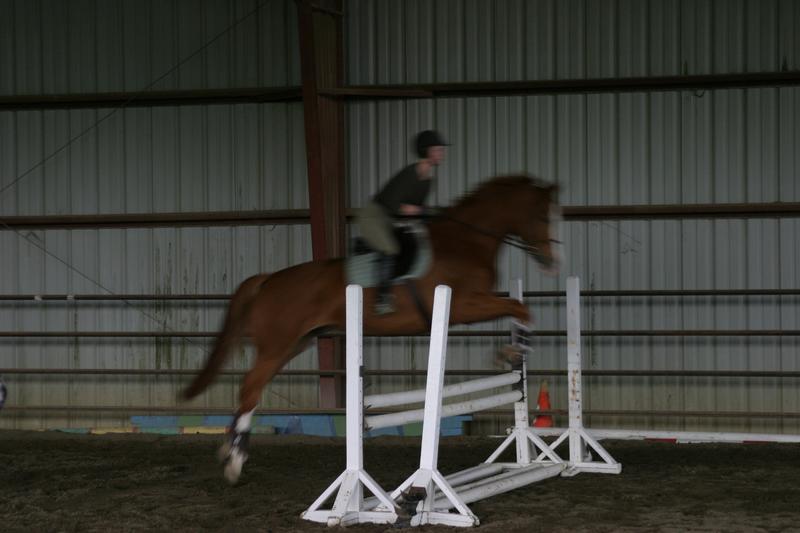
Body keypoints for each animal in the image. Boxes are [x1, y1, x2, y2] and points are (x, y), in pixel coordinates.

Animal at [182, 175, 561, 483]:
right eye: (542, 216)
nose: (551, 261)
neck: (466, 241)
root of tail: (268, 280)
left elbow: (520, 309)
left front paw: (513, 352)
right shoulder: (465, 306)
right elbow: (520, 308)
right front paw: (510, 352)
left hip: (294, 343)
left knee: (253, 390)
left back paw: (228, 450)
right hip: (278, 344)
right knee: (250, 388)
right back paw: (235, 461)